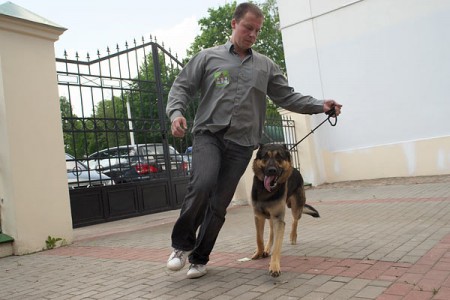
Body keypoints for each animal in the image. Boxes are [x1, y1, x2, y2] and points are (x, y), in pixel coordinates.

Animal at [250, 143, 320, 276]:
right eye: (265, 156)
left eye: (279, 157)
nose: (271, 170)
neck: (266, 192)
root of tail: (296, 169)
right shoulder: (258, 216)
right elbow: (258, 238)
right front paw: (259, 252)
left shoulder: (278, 219)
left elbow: (277, 245)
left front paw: (274, 266)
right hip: (271, 216)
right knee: (271, 232)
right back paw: (267, 249)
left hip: (296, 207)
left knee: (295, 221)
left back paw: (293, 236)